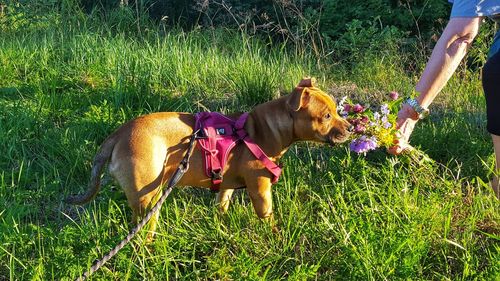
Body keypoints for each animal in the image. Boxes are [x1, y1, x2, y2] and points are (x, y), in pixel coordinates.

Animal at [66, 77, 352, 237]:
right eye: (326, 116)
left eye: (336, 110)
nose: (350, 128)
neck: (262, 130)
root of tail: (118, 133)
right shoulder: (260, 190)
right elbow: (268, 217)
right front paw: (276, 238)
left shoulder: (226, 186)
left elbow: (221, 205)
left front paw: (220, 226)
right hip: (148, 200)